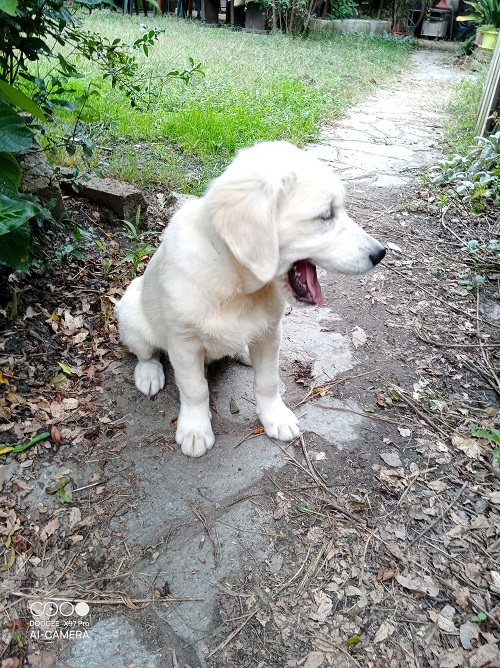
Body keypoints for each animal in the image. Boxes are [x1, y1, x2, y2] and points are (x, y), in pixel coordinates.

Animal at [115, 139, 384, 456]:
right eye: (325, 215)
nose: (380, 253)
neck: (237, 284)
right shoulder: (183, 344)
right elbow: (194, 389)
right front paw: (195, 429)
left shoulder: (270, 332)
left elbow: (268, 381)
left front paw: (275, 416)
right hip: (131, 312)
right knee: (146, 353)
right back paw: (149, 374)